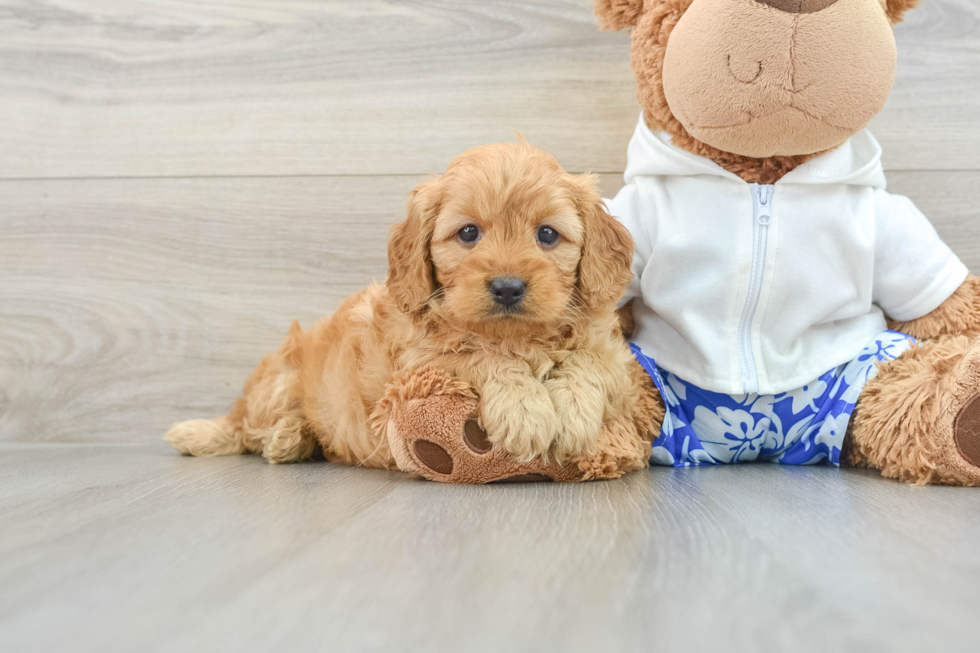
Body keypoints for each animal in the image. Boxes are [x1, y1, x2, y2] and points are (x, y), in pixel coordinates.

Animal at [167, 141, 644, 468]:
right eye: (468, 233)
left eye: (547, 234)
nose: (508, 287)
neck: (516, 337)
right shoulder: (420, 361)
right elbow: (481, 355)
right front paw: (525, 410)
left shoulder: (615, 356)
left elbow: (588, 362)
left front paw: (573, 416)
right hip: (279, 382)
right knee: (244, 426)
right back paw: (250, 435)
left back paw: (293, 439)